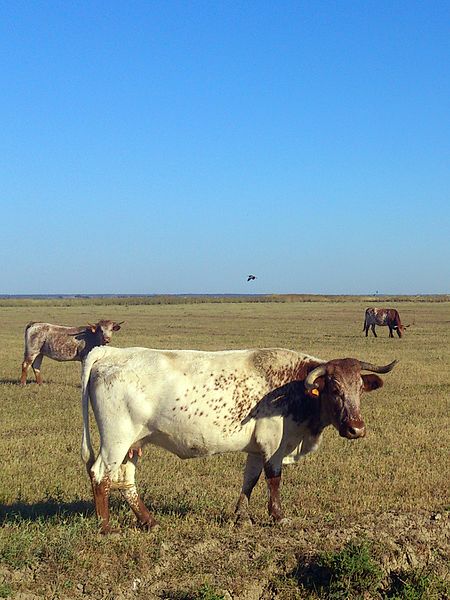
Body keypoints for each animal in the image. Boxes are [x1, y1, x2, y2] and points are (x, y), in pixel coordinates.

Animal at [79, 346, 396, 536]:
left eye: (359, 389)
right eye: (334, 389)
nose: (356, 428)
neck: (294, 387)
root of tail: (110, 352)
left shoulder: (256, 448)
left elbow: (250, 480)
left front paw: (241, 516)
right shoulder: (273, 444)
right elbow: (273, 478)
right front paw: (278, 516)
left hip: (134, 443)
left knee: (125, 479)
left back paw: (150, 521)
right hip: (116, 438)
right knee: (101, 475)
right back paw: (106, 528)